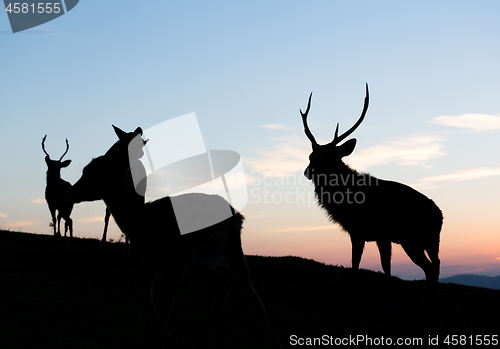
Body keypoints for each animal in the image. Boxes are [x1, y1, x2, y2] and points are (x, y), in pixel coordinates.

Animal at [67, 128, 282, 348]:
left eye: (96, 172)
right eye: (85, 169)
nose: (71, 191)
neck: (145, 225)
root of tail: (238, 214)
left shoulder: (179, 258)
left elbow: (167, 304)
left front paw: (163, 340)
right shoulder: (153, 259)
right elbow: (145, 292)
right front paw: (168, 337)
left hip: (232, 247)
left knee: (252, 294)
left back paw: (276, 342)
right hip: (201, 264)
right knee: (223, 286)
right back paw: (203, 341)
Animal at [300, 83, 442, 294]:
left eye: (329, 156)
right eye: (311, 156)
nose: (308, 171)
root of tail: (440, 214)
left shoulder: (380, 233)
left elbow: (383, 267)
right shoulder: (357, 232)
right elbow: (356, 264)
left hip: (424, 239)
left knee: (434, 266)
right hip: (418, 242)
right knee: (431, 266)